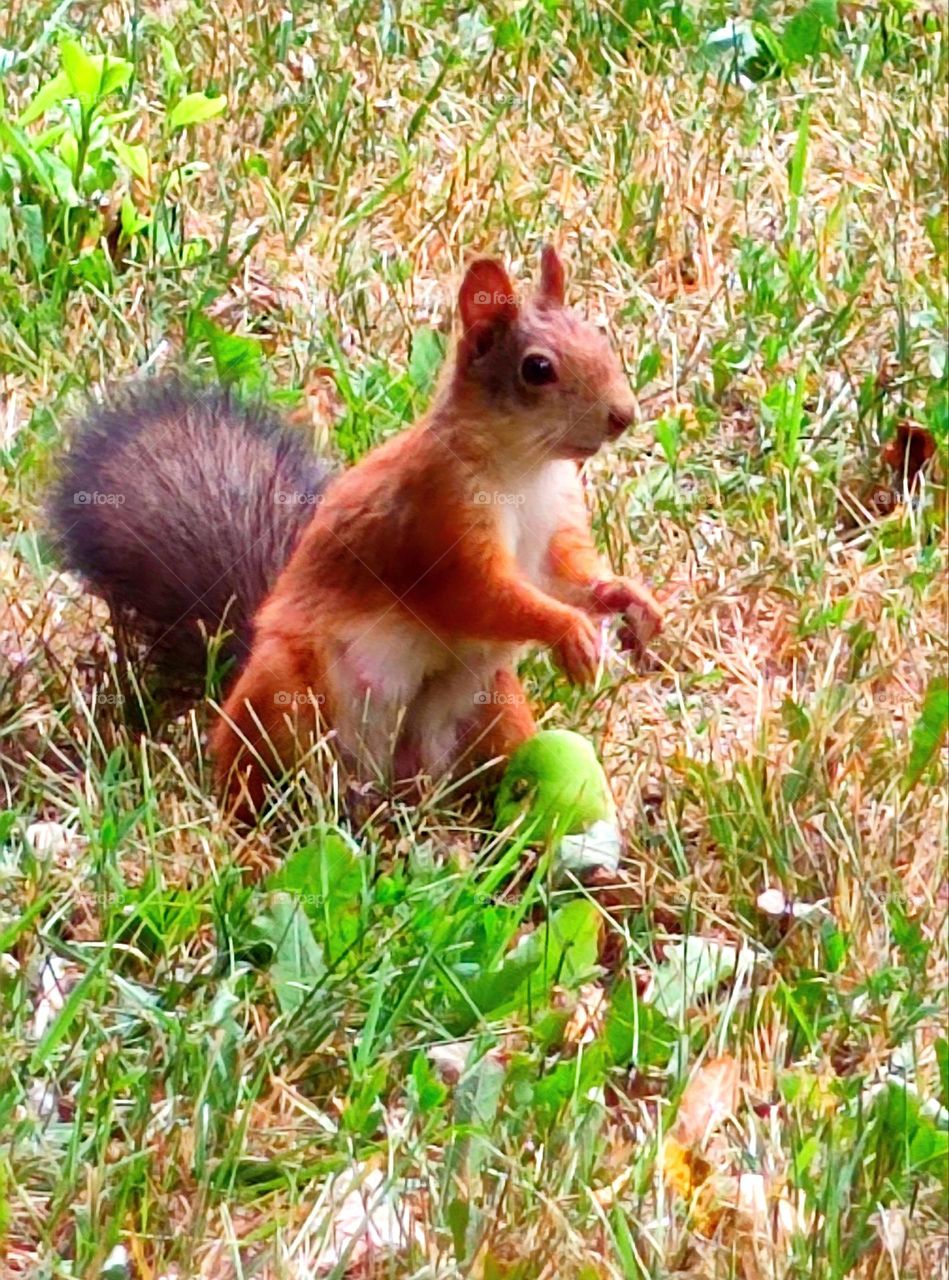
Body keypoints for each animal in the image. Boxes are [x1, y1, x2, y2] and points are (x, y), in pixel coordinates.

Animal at [51, 244, 660, 814]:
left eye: (599, 338)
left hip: (489, 708)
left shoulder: (557, 527)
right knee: (249, 768)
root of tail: (383, 779)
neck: (525, 469)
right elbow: (483, 595)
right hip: (285, 691)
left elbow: (569, 575)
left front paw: (630, 600)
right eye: (537, 369)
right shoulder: (440, 521)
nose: (623, 416)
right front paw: (569, 632)